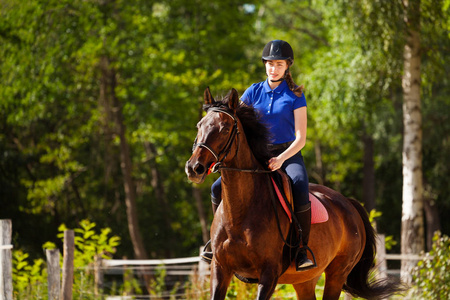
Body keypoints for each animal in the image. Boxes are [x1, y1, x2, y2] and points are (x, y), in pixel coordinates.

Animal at [185, 88, 400, 298]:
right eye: (199, 125)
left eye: (225, 128)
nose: (194, 168)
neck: (240, 213)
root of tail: (348, 203)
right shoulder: (220, 269)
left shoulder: (269, 274)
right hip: (304, 281)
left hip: (337, 274)